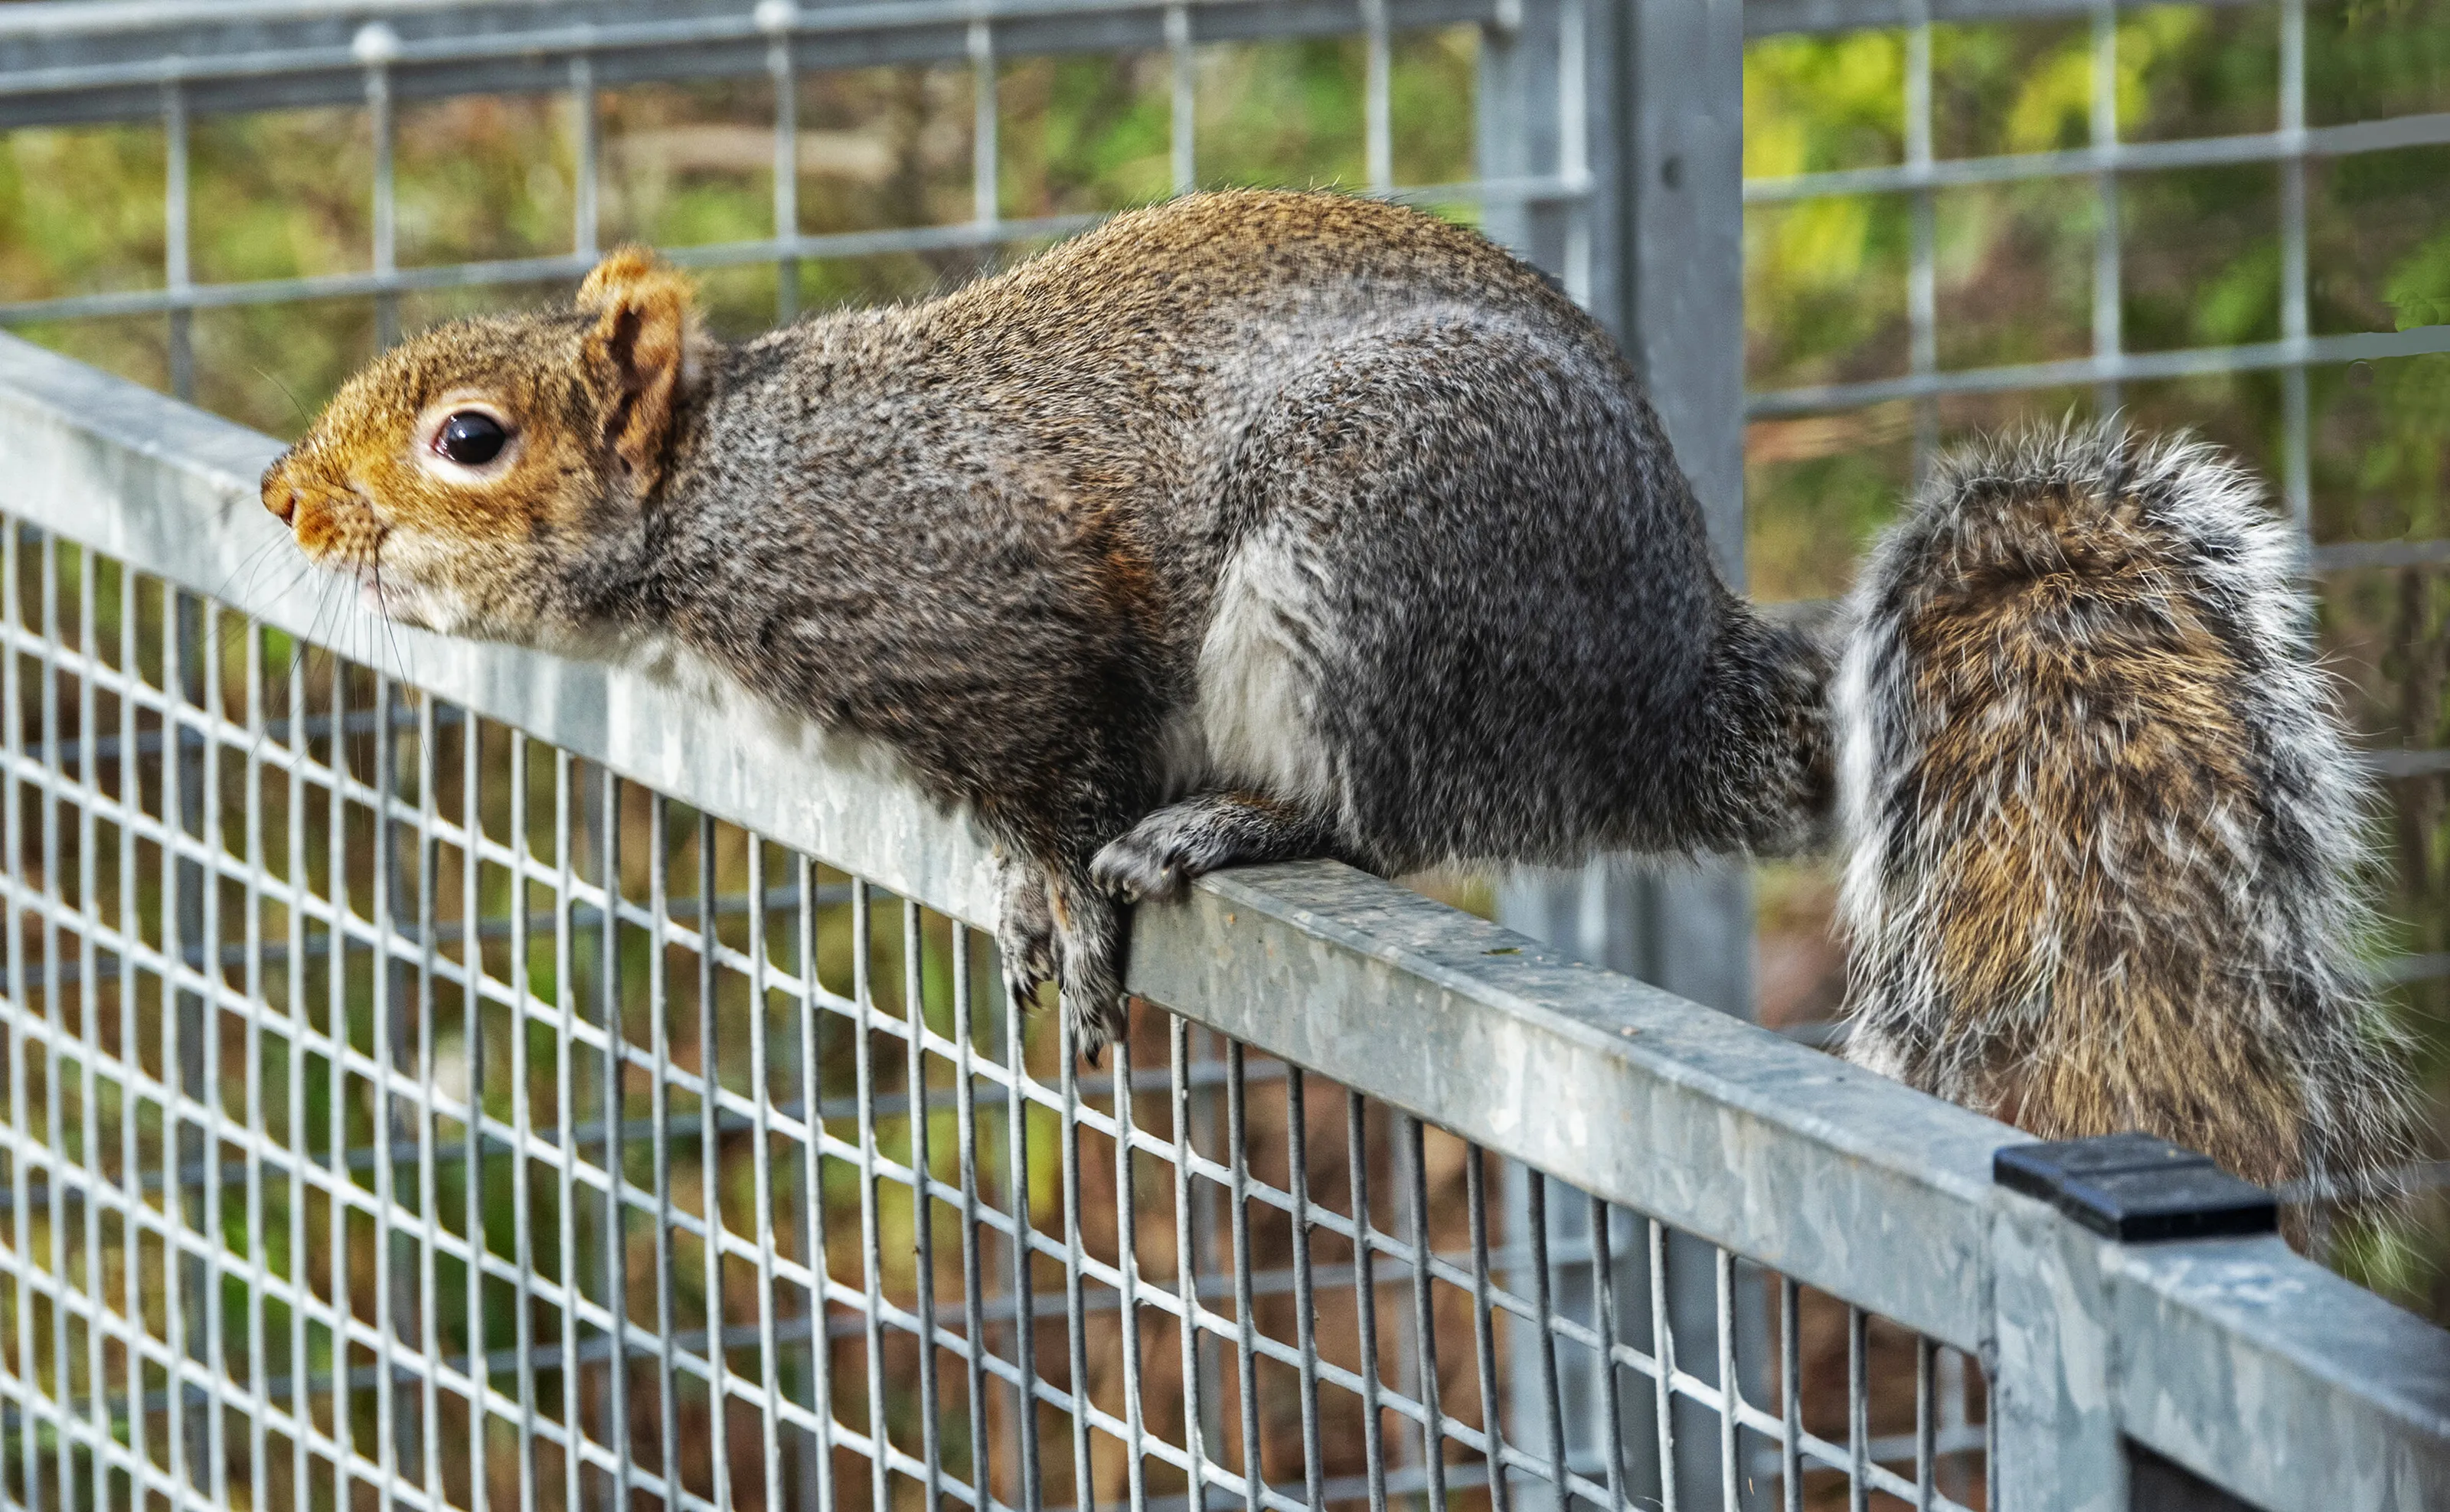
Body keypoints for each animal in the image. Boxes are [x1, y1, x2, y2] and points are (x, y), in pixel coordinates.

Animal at [259, 190, 1832, 1060]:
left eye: (471, 440)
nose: (284, 497)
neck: (723, 495)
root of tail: (1672, 676)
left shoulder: (992, 626)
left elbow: (1065, 783)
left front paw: (1071, 905)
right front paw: (1019, 893)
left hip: (1377, 542)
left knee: (1393, 810)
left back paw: (1233, 823)